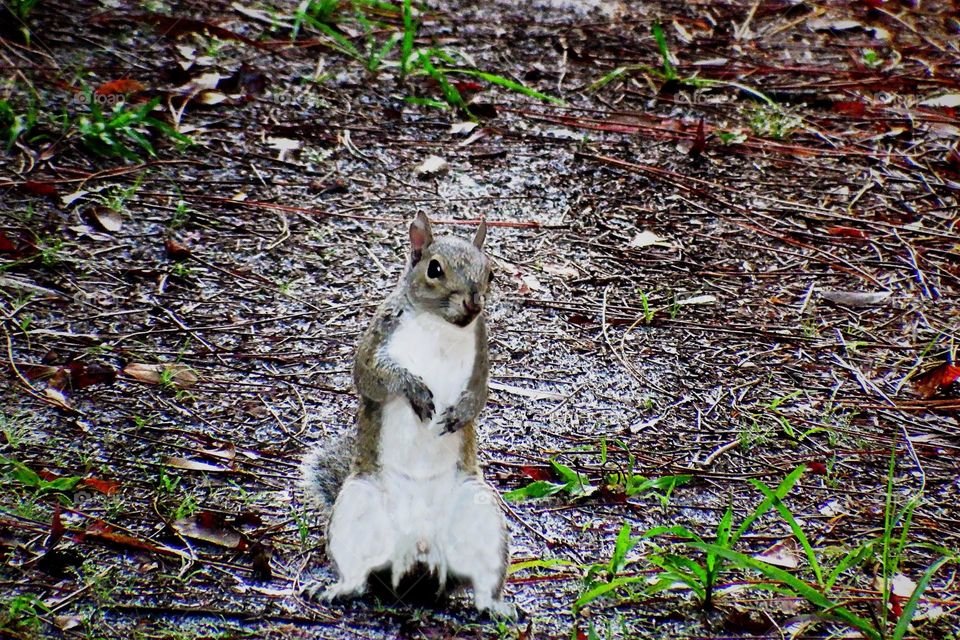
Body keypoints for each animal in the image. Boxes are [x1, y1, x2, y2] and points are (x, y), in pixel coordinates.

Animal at [301, 212, 514, 618]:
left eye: (491, 272)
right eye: (434, 269)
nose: (473, 303)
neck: (440, 326)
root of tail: (417, 559)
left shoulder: (480, 362)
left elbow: (479, 397)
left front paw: (459, 414)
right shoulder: (378, 338)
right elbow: (370, 375)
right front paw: (413, 387)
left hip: (480, 515)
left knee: (481, 580)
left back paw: (495, 606)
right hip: (357, 507)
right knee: (359, 575)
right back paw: (337, 589)